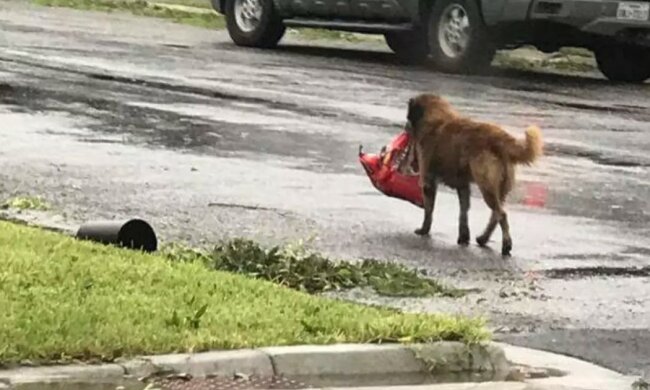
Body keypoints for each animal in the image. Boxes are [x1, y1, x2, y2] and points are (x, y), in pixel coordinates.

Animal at [404, 92, 540, 256]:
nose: (405, 127)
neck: (436, 118)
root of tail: (499, 137)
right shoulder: (463, 186)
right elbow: (464, 212)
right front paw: (463, 237)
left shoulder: (428, 181)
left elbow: (429, 210)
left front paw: (424, 230)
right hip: (500, 188)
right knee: (496, 215)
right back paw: (483, 238)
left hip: (487, 186)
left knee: (501, 214)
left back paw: (506, 245)